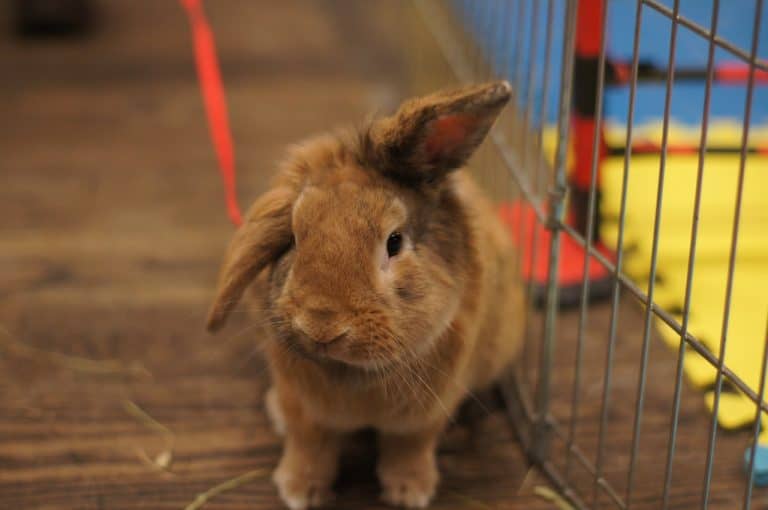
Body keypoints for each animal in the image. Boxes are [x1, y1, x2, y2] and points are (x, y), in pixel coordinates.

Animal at [206, 81, 523, 509]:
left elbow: (410, 447)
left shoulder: (425, 414)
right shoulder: (304, 409)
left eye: (394, 242)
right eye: (294, 236)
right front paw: (299, 492)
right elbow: (309, 446)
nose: (321, 327)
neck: (355, 375)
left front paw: (409, 493)